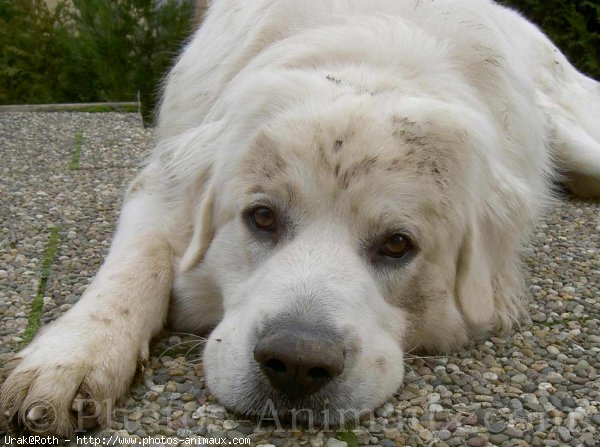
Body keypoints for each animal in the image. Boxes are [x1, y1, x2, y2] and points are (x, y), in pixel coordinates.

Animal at [1, 0, 600, 436]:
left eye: (397, 245)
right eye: (262, 217)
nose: (294, 363)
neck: (366, 48)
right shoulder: (159, 188)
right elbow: (132, 269)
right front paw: (70, 360)